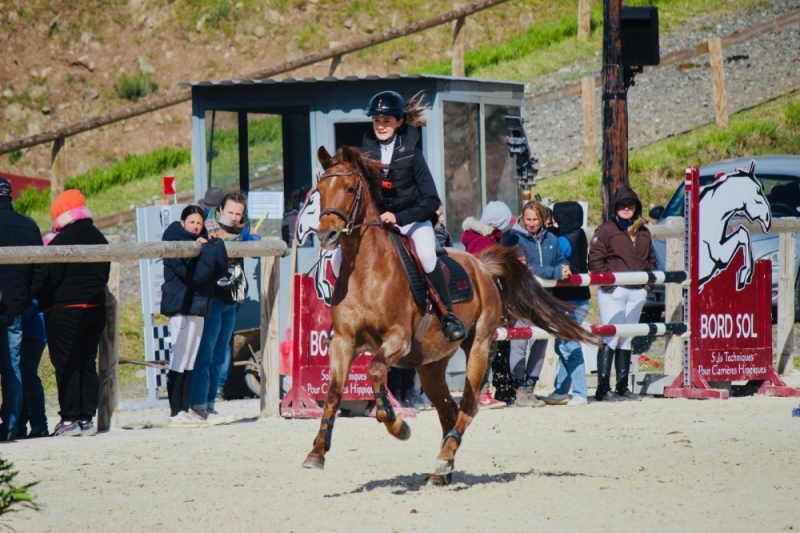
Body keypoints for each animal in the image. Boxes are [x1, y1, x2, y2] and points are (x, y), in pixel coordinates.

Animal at [302, 145, 592, 482]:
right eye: (319, 191)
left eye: (350, 189)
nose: (327, 235)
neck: (365, 269)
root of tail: (482, 266)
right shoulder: (343, 342)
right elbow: (334, 392)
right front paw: (316, 451)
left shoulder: (397, 339)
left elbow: (374, 370)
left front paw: (398, 425)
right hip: (430, 365)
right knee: (448, 409)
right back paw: (444, 465)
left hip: (479, 345)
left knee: (467, 405)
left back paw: (444, 458)